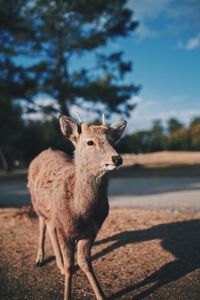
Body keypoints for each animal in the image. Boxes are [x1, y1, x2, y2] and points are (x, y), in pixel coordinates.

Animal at [27, 113, 126, 300]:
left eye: (112, 139)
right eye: (90, 142)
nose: (117, 158)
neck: (81, 212)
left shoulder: (91, 232)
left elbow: (85, 263)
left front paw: (101, 295)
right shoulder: (65, 231)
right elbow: (70, 266)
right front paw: (67, 294)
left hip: (51, 213)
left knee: (49, 226)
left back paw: (55, 263)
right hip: (36, 204)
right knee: (43, 224)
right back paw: (40, 259)